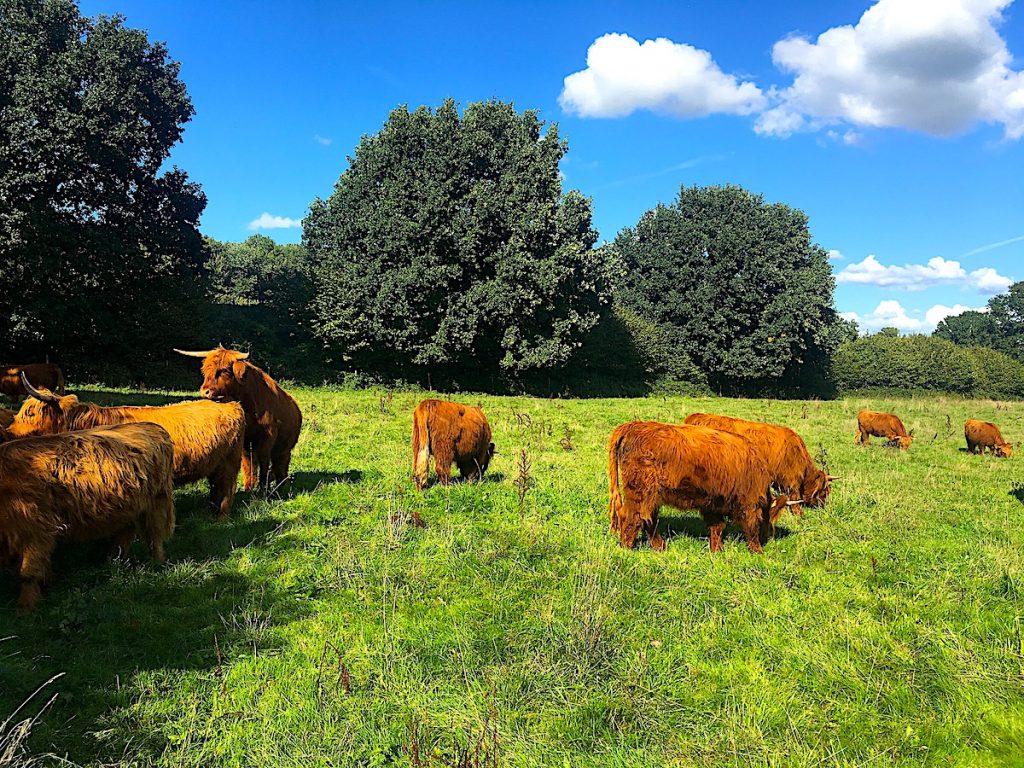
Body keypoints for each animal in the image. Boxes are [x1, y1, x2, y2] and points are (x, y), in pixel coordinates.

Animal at [0, 421, 175, 614]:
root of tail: (152, 426)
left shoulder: (36, 530)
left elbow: (28, 571)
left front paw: (25, 607)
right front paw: (49, 581)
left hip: (157, 501)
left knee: (154, 535)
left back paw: (156, 563)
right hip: (127, 506)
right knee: (125, 531)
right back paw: (114, 561)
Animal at [12, 376, 245, 520]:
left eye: (30, 413)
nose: (9, 431)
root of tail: (231, 404)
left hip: (230, 462)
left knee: (227, 489)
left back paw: (220, 518)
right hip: (215, 465)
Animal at [174, 344, 301, 489]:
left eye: (223, 370)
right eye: (205, 370)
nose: (205, 391)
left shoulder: (268, 437)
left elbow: (263, 462)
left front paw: (263, 487)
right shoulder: (246, 441)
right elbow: (248, 464)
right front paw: (249, 487)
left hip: (285, 448)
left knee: (281, 464)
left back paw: (282, 485)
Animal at [602, 421, 794, 552]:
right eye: (771, 520)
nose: (767, 538)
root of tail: (632, 426)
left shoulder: (712, 502)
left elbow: (717, 526)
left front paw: (717, 550)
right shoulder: (749, 502)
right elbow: (751, 526)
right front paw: (757, 551)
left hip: (652, 495)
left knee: (648, 519)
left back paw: (660, 546)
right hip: (641, 491)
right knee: (632, 517)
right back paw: (627, 548)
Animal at [684, 411, 835, 514]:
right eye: (825, 491)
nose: (823, 507)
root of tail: (695, 417)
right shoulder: (791, 478)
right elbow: (794, 496)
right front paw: (799, 513)